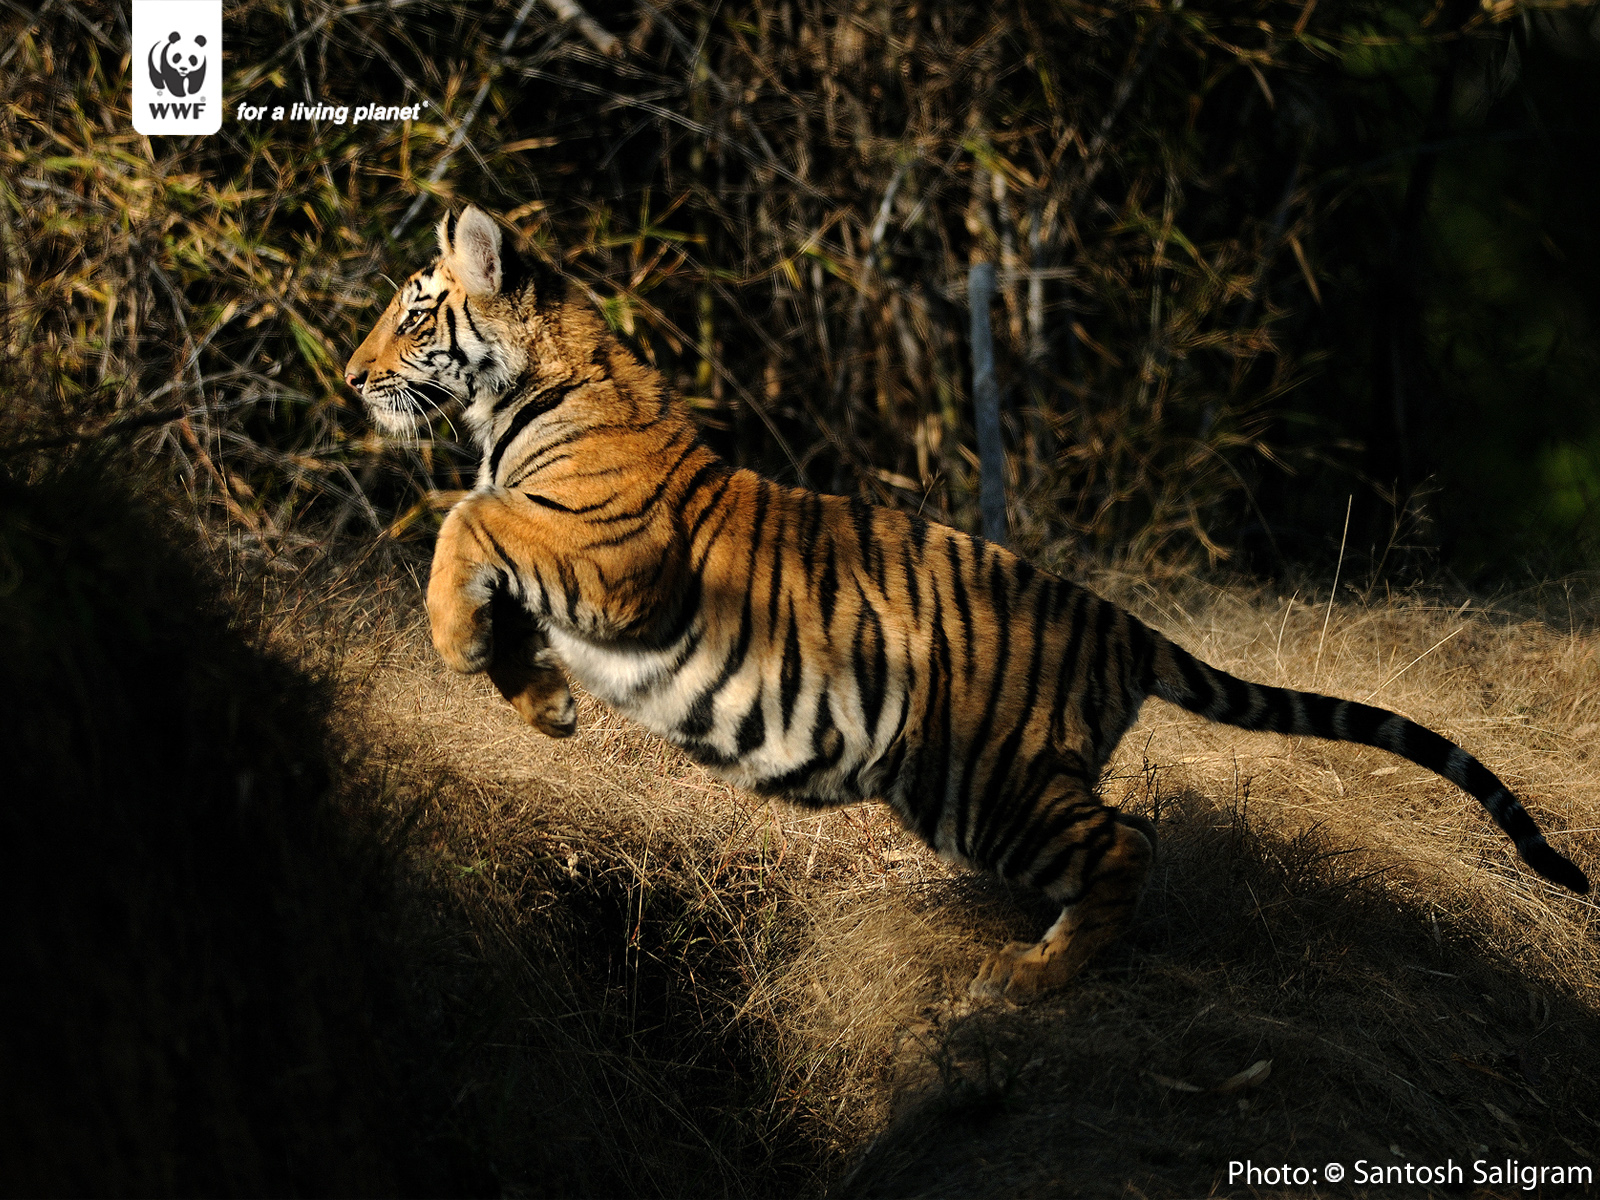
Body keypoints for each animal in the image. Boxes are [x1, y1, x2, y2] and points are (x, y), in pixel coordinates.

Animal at [344, 204, 1589, 998]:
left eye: (414, 314)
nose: (349, 378)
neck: (515, 405)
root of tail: (1115, 621)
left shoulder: (613, 559)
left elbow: (465, 520)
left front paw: (455, 639)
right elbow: (491, 562)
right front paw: (541, 703)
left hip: (984, 781)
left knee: (1123, 843)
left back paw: (1030, 979)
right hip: (981, 786)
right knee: (1129, 835)